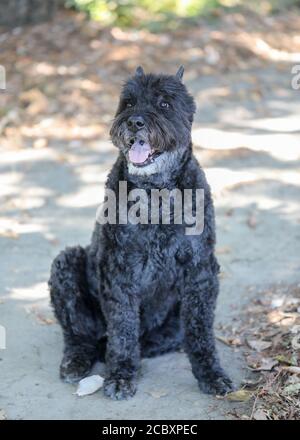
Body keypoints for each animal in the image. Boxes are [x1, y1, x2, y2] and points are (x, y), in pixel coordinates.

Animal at [48, 67, 232, 400]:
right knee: (80, 334)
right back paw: (78, 359)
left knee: (153, 339)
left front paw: (211, 373)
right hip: (66, 264)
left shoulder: (200, 271)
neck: (155, 193)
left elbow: (200, 330)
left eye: (164, 104)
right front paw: (120, 374)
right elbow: (122, 327)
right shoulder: (119, 269)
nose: (134, 122)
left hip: (173, 321)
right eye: (129, 103)